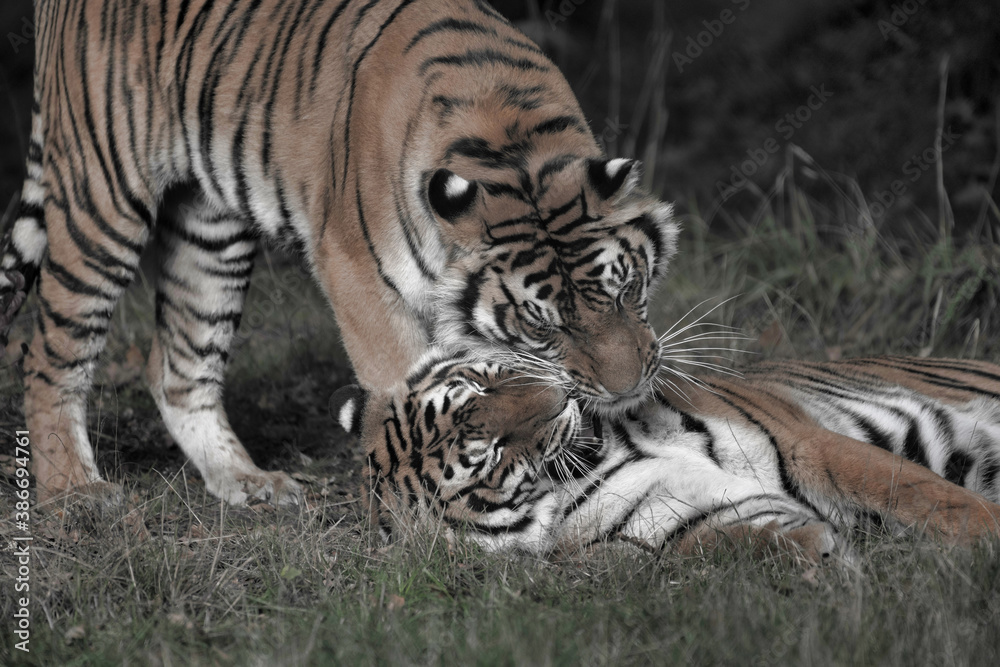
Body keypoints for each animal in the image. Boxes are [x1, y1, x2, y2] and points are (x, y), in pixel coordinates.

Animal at [0, 1, 676, 505]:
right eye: (541, 324)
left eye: (626, 289)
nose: (626, 388)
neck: (506, 137)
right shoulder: (355, 273)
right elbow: (405, 384)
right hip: (102, 194)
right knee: (49, 354)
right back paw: (77, 493)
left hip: (210, 228)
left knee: (178, 366)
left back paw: (249, 482)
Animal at [331, 351, 1000, 562]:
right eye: (489, 456)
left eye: (479, 383)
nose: (558, 396)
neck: (600, 453)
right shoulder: (689, 517)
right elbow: (765, 539)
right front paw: (832, 569)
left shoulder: (806, 444)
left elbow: (931, 498)